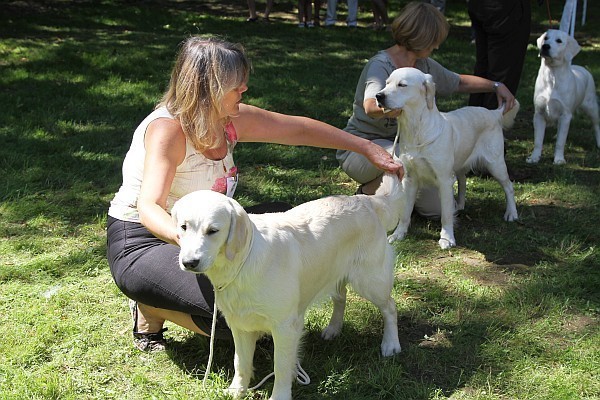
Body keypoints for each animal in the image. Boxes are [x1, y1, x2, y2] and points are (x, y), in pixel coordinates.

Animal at [171, 173, 404, 400]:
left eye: (213, 231)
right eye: (183, 227)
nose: (189, 262)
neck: (242, 262)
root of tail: (366, 200)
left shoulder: (285, 326)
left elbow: (281, 367)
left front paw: (280, 395)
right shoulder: (239, 323)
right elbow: (241, 362)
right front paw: (237, 390)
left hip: (371, 281)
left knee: (390, 308)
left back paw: (390, 344)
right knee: (341, 296)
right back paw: (333, 328)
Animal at [376, 68, 520, 248]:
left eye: (402, 85)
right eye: (387, 83)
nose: (378, 96)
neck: (417, 129)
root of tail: (494, 113)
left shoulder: (444, 179)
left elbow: (445, 213)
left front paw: (447, 238)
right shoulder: (410, 179)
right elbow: (405, 211)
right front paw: (398, 234)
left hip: (496, 164)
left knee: (509, 186)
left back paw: (511, 213)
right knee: (463, 181)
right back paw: (460, 205)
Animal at [528, 28, 596, 165]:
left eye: (559, 41)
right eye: (546, 38)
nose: (545, 46)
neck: (552, 75)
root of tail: (582, 68)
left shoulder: (565, 115)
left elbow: (560, 141)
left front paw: (559, 159)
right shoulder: (539, 113)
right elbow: (538, 140)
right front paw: (534, 157)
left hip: (591, 106)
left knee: (597, 124)